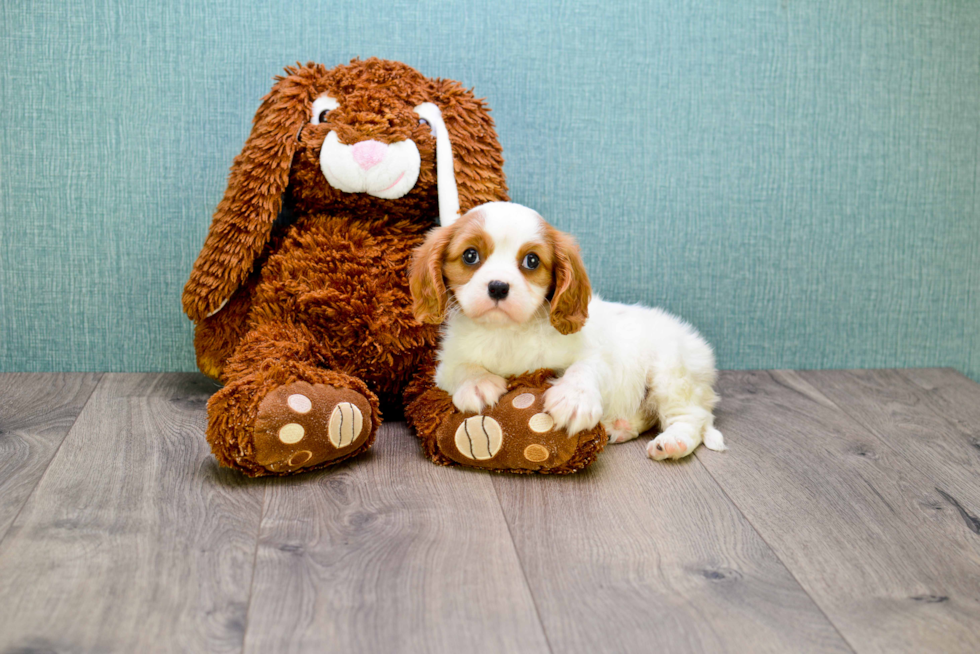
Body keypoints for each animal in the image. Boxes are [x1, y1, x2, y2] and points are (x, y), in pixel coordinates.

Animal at [410, 201, 724, 462]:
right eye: (470, 255)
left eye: (532, 261)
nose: (498, 287)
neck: (507, 332)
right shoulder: (446, 365)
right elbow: (463, 368)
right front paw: (478, 383)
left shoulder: (595, 354)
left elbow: (584, 368)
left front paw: (574, 399)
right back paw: (620, 427)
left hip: (672, 375)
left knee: (693, 417)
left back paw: (672, 442)